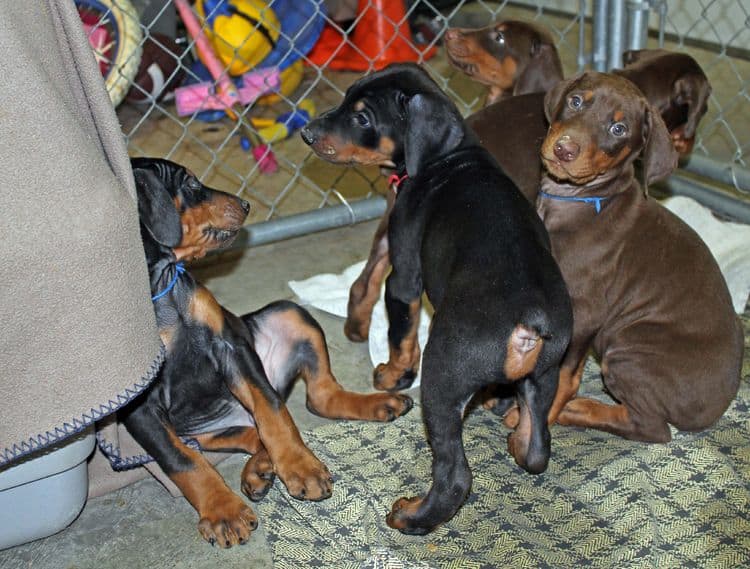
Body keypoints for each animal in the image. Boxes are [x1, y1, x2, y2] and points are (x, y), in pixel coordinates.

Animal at [126, 158, 414, 548]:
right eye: (190, 183)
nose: (245, 204)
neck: (159, 288)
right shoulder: (138, 405)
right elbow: (181, 460)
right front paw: (222, 511)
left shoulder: (231, 344)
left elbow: (273, 410)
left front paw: (300, 467)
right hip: (203, 432)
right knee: (248, 433)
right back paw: (259, 469)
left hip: (288, 314)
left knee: (313, 399)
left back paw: (374, 405)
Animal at [302, 64, 572, 536]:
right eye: (348, 97)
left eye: (362, 117)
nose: (307, 133)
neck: (448, 156)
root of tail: (530, 320)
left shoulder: (404, 276)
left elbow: (401, 330)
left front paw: (393, 374)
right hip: (545, 374)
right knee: (538, 447)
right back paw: (517, 438)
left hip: (442, 378)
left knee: (455, 475)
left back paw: (411, 516)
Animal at [528, 72, 748, 440]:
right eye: (576, 101)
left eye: (619, 129)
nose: (564, 148)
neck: (580, 200)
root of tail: (717, 407)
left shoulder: (585, 310)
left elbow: (563, 372)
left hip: (630, 348)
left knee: (653, 429)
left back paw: (578, 409)